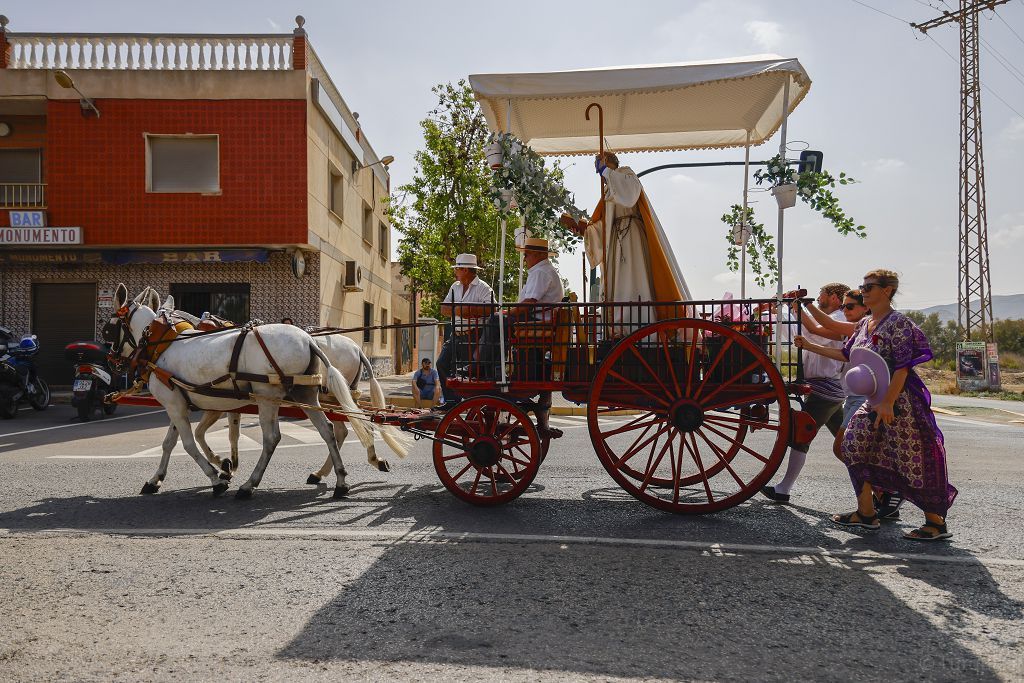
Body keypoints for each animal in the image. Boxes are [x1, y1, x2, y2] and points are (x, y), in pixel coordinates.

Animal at [104, 286, 387, 499]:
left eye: (109, 327)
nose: (111, 361)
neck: (160, 344)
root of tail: (309, 341)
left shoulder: (178, 404)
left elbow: (190, 442)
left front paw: (218, 476)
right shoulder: (180, 402)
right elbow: (170, 443)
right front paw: (156, 479)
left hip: (268, 395)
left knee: (273, 438)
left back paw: (250, 485)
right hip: (306, 394)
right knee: (329, 430)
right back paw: (339, 480)